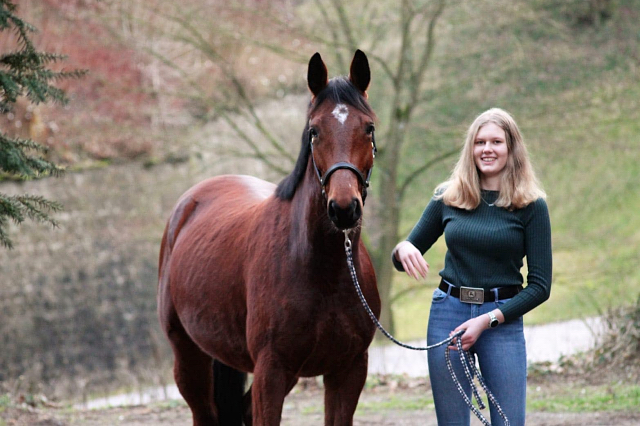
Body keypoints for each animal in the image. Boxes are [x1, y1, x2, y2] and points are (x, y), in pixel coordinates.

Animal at [159, 50, 380, 426]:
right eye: (314, 131)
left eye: (369, 128)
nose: (344, 208)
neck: (322, 269)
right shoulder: (271, 371)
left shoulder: (348, 370)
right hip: (188, 357)